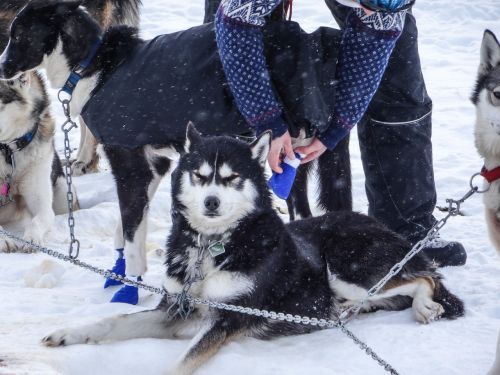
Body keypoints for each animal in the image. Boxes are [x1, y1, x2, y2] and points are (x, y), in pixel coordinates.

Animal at [0, 70, 77, 253]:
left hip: (64, 193)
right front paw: (4, 240)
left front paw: (31, 239)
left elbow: (39, 220)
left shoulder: (42, 204)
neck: (9, 152)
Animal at [41, 126, 462, 375]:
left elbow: (183, 360)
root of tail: (380, 226)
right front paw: (67, 334)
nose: (211, 202)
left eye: (232, 178)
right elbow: (111, 322)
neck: (213, 246)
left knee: (424, 278)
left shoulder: (230, 318)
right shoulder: (175, 310)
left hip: (347, 269)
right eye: (199, 175)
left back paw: (425, 306)